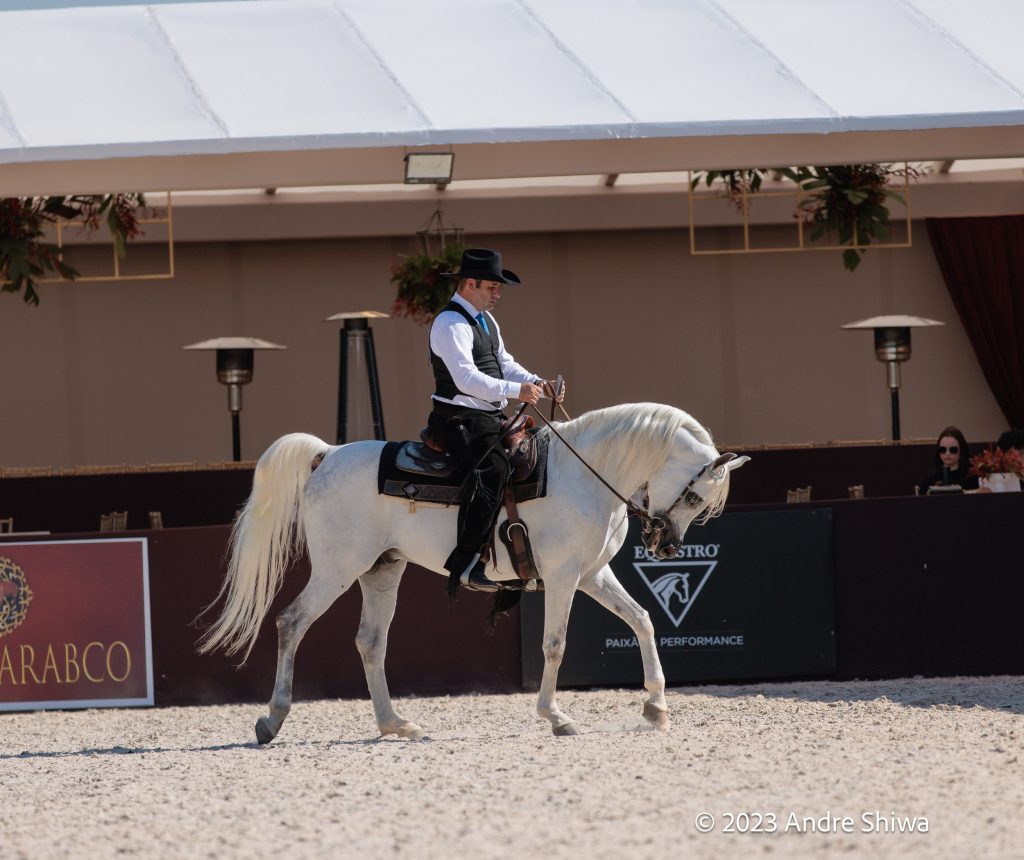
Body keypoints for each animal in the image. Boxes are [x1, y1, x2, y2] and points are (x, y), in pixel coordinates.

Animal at [195, 399, 749, 741]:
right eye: (696, 496)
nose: (665, 544)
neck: (586, 473)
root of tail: (326, 455)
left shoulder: (593, 574)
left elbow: (642, 620)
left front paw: (656, 706)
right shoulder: (564, 576)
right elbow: (555, 644)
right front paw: (555, 715)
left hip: (381, 571)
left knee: (370, 643)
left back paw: (395, 724)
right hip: (336, 569)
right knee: (291, 622)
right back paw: (272, 720)